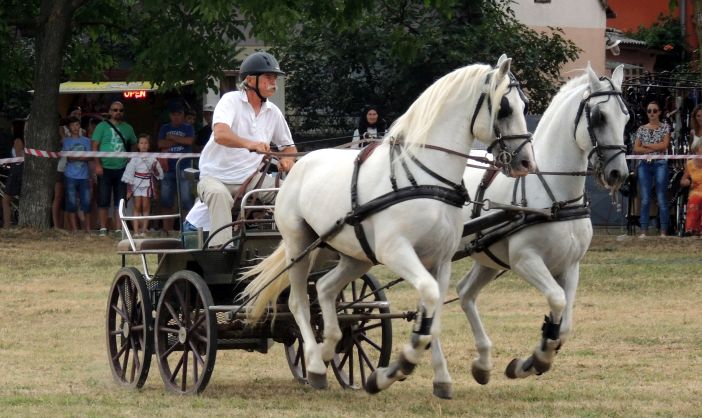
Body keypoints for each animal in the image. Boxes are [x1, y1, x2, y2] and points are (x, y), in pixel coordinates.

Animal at [239, 55, 536, 398]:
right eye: (504, 108)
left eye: (525, 105)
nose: (526, 163)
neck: (425, 177)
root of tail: (300, 163)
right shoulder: (397, 251)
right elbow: (428, 298)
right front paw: (398, 367)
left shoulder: (441, 260)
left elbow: (433, 313)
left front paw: (441, 378)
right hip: (299, 245)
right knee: (298, 301)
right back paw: (315, 364)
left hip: (355, 255)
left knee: (325, 288)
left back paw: (329, 347)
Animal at [440, 63, 632, 386]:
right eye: (598, 116)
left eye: (626, 116)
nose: (619, 173)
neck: (556, 196)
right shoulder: (525, 260)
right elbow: (556, 299)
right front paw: (539, 357)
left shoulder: (570, 266)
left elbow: (564, 324)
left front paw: (529, 360)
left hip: (487, 257)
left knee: (465, 293)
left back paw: (483, 363)